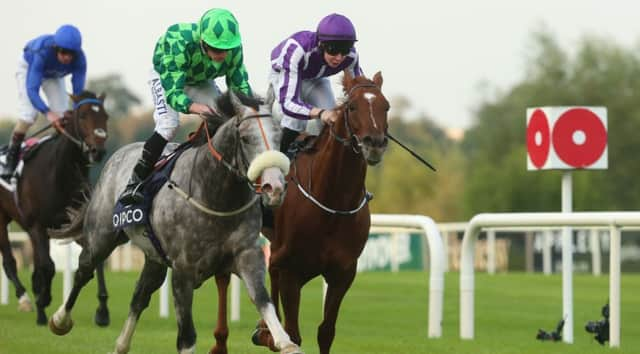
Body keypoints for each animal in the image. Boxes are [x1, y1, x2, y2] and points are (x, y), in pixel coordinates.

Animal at [47, 90, 302, 352]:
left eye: (279, 135)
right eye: (245, 138)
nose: (275, 187)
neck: (215, 195)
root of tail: (117, 155)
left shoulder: (247, 254)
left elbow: (262, 299)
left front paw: (285, 342)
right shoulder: (183, 272)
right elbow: (186, 337)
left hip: (154, 256)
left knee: (140, 295)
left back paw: (121, 345)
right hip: (102, 236)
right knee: (84, 270)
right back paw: (60, 320)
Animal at [255, 70, 390, 352]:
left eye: (386, 106)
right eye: (352, 107)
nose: (374, 143)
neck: (334, 203)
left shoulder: (343, 272)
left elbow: (326, 331)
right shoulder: (292, 270)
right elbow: (293, 335)